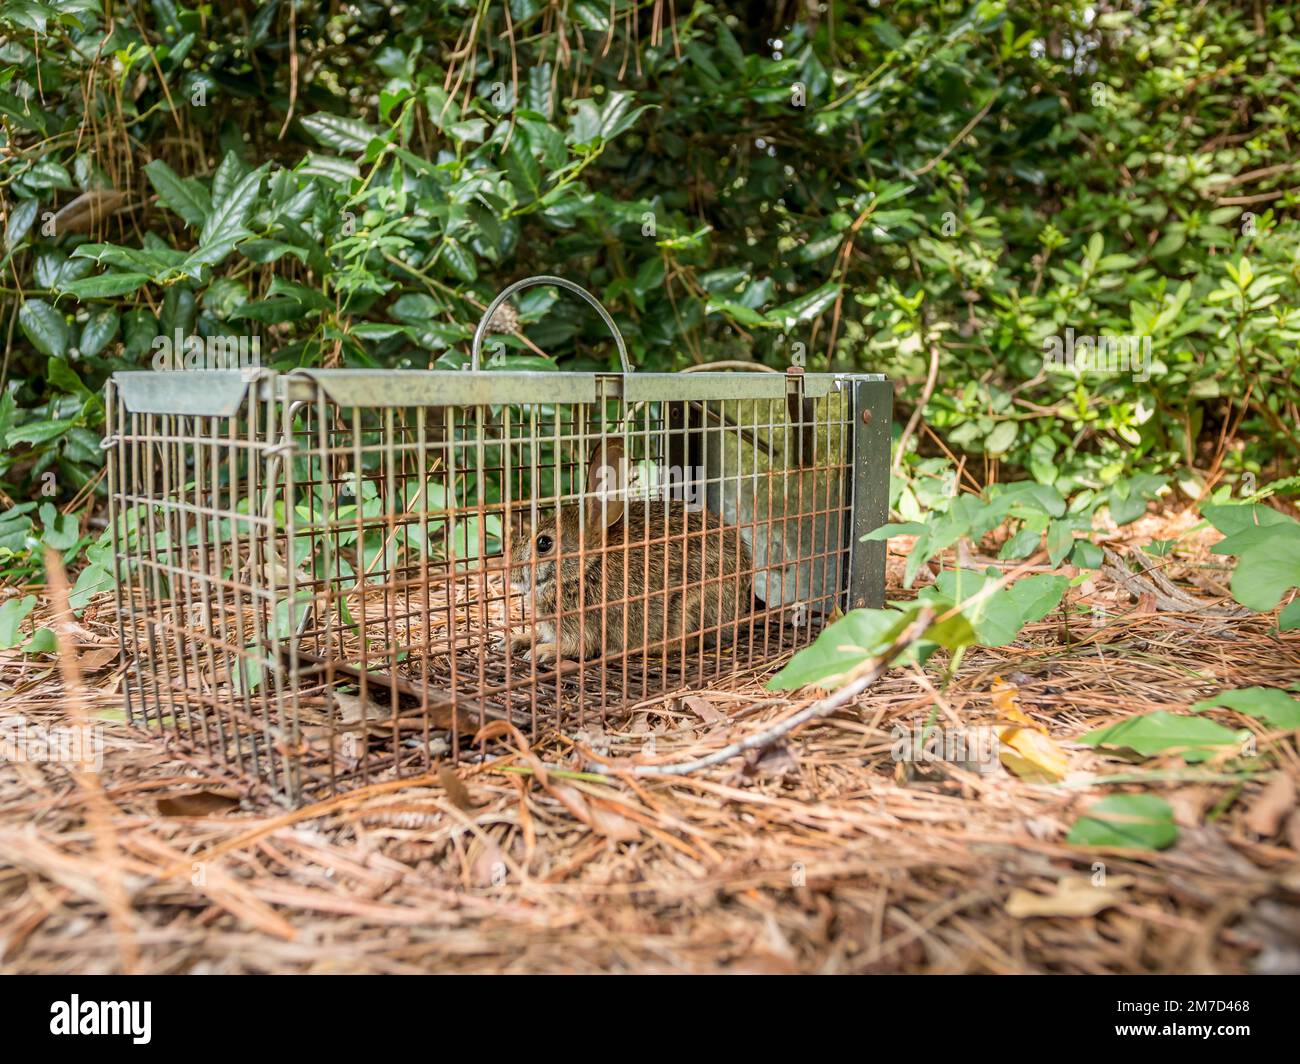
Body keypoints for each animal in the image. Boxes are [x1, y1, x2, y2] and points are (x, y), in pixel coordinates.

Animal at [505, 439, 752, 666]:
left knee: (689, 641)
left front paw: (542, 651)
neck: (584, 568)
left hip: (691, 602)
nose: (511, 572)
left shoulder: (581, 628)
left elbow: (576, 647)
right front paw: (517, 640)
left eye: (544, 543)